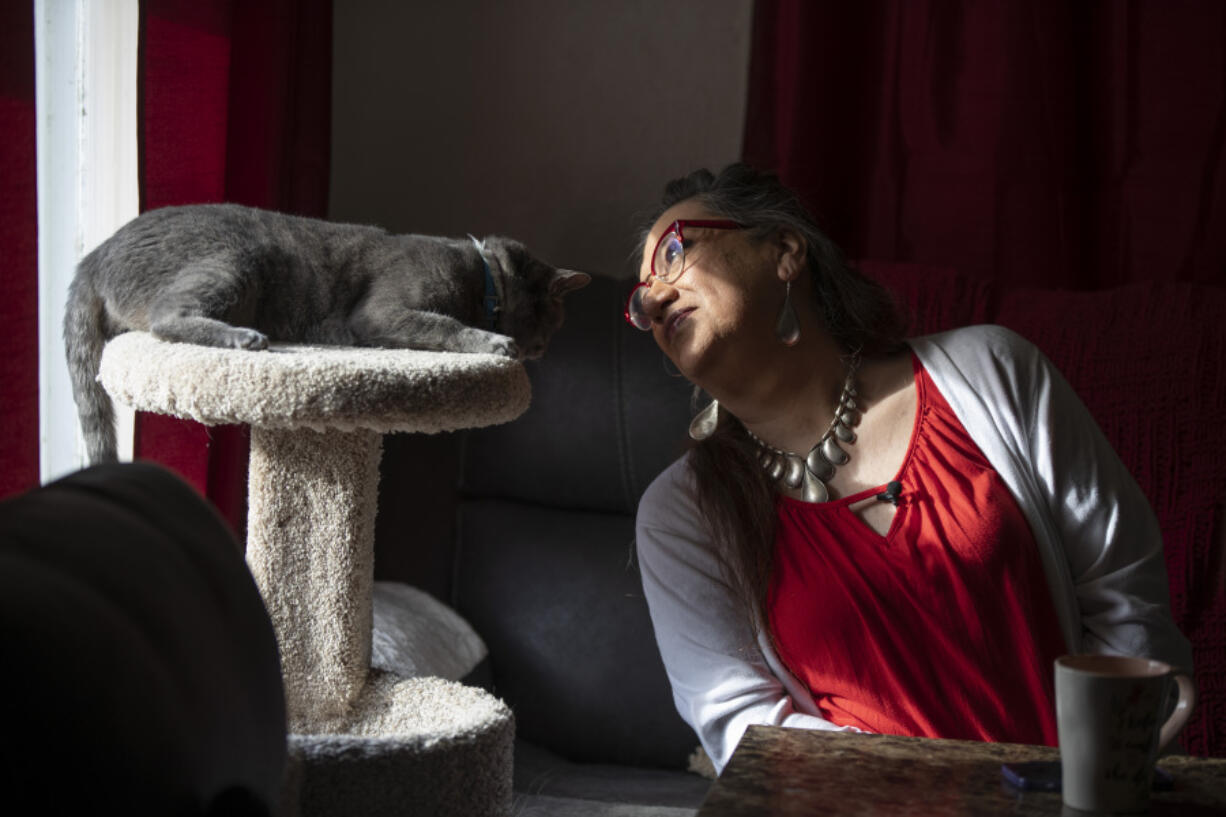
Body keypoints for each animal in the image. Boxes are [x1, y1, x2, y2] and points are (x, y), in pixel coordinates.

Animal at [67, 201, 593, 461]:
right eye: (556, 320)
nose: (542, 349)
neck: (481, 278)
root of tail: (93, 256)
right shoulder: (381, 313)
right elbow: (445, 325)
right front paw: (494, 342)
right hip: (234, 258)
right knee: (165, 318)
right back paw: (244, 337)